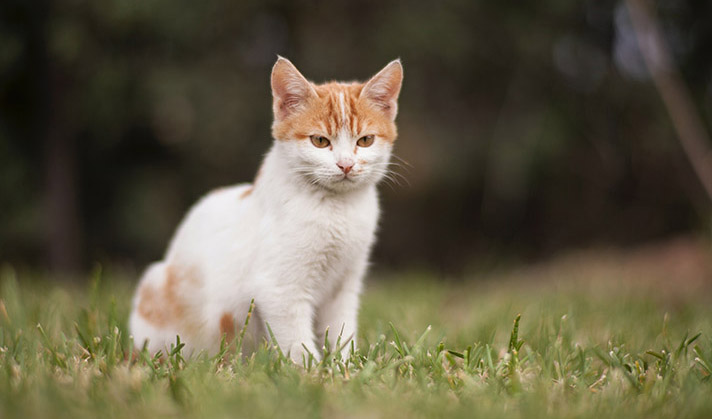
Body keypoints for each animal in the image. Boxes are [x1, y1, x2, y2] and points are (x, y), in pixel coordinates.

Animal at [129, 56, 404, 364]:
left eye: (365, 140)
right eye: (320, 141)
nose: (346, 165)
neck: (336, 208)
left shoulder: (344, 286)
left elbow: (342, 331)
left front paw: (345, 364)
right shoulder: (279, 289)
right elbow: (297, 342)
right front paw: (312, 371)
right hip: (156, 288)